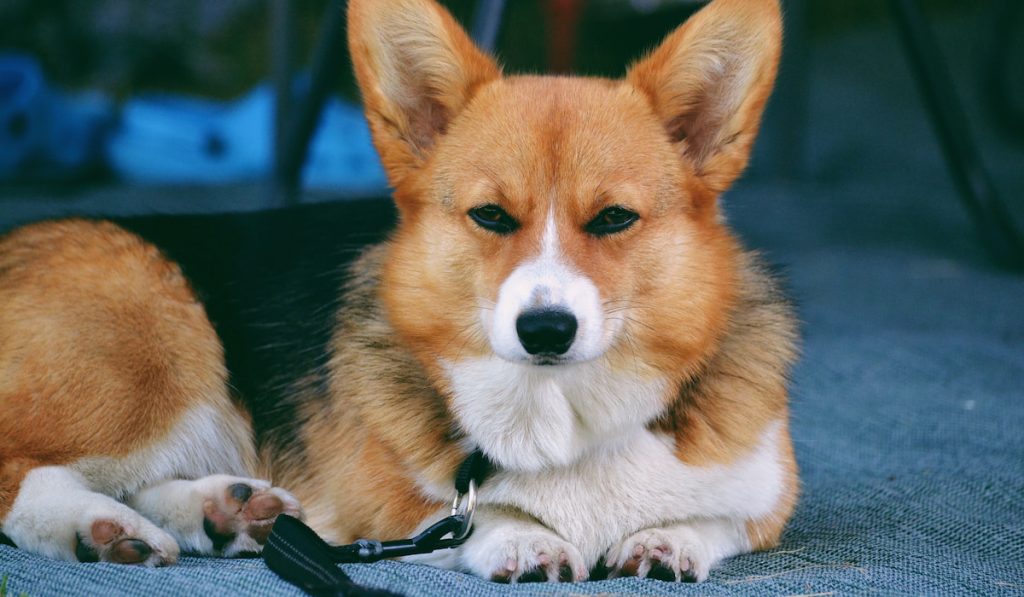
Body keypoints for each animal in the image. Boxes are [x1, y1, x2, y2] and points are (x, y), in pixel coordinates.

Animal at [0, 0, 794, 585]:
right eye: (491, 215)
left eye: (614, 219)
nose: (545, 329)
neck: (562, 416)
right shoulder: (376, 498)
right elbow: (455, 517)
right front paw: (525, 539)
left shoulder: (767, 494)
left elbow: (721, 520)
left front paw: (669, 538)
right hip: (161, 347)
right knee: (21, 470)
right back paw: (98, 528)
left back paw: (222, 511)